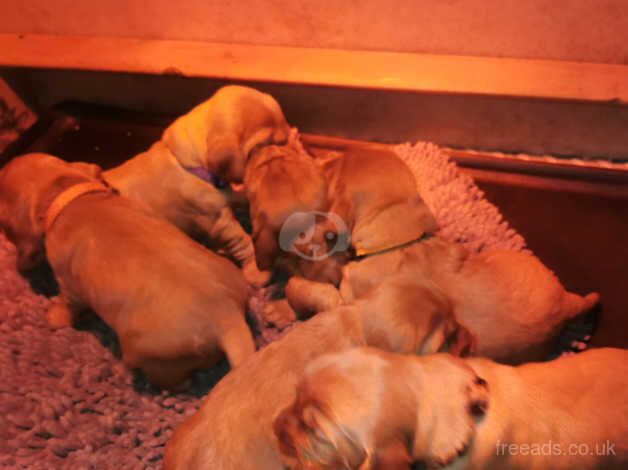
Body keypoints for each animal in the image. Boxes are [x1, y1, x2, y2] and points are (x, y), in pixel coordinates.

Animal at [0, 154, 256, 390]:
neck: (70, 196)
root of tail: (228, 317)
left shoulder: (69, 286)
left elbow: (67, 306)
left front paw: (54, 318)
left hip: (152, 359)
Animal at [103, 85, 290, 286]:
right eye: (265, 143)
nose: (286, 150)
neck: (188, 162)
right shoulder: (220, 223)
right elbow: (244, 241)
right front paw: (257, 270)